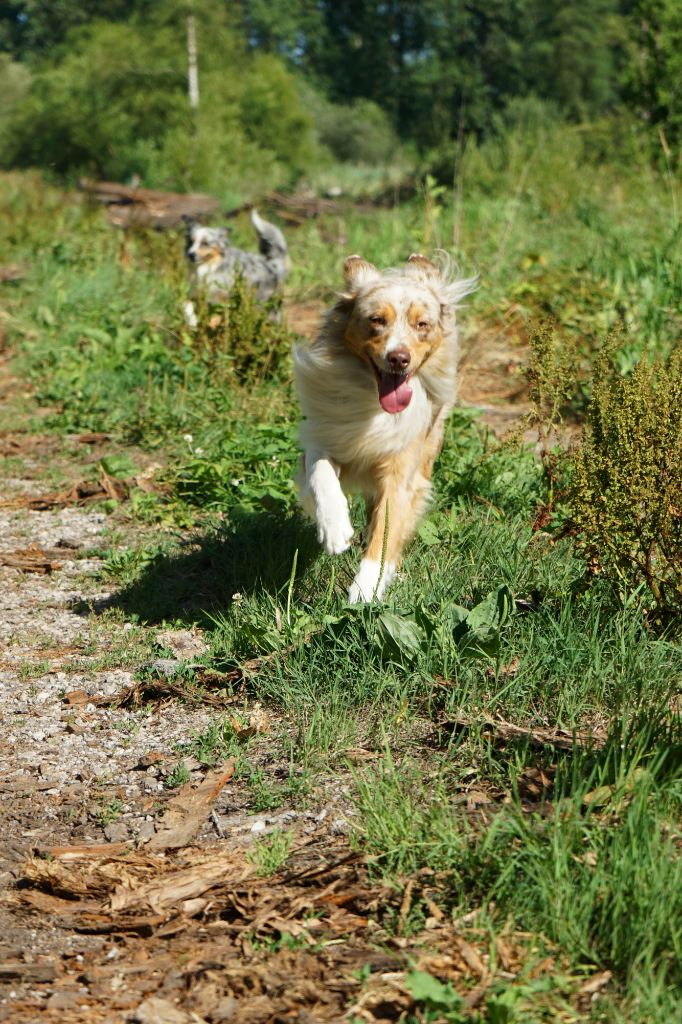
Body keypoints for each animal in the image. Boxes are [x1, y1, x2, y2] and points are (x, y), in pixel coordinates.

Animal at [292, 253, 473, 598]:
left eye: (422, 325)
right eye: (376, 320)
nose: (399, 358)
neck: (375, 406)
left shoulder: (401, 472)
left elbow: (387, 530)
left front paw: (366, 589)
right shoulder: (328, 433)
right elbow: (320, 471)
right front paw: (334, 528)